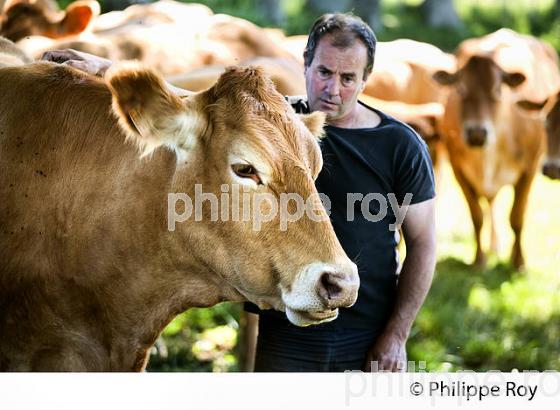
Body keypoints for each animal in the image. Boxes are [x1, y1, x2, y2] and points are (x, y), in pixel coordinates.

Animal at [430, 28, 556, 266]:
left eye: (497, 90)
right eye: (460, 89)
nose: (477, 133)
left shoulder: (530, 168)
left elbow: (517, 217)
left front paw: (518, 262)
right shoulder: (458, 169)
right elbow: (477, 216)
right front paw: (479, 260)